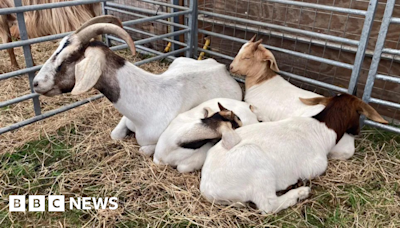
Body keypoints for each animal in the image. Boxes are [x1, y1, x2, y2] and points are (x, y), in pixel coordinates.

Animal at [33, 15, 241, 155]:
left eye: (65, 61)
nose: (36, 83)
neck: (147, 105)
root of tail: (221, 67)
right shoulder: (125, 120)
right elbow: (115, 135)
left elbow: (143, 150)